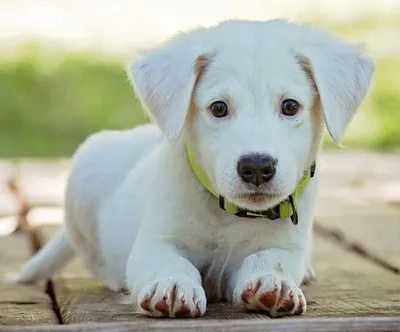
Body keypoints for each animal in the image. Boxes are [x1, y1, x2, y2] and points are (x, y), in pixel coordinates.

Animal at [13, 19, 376, 318]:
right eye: (218, 108)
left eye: (290, 106)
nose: (257, 167)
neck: (227, 212)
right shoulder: (156, 241)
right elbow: (169, 261)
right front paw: (172, 285)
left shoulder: (285, 244)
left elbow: (270, 258)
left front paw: (272, 281)